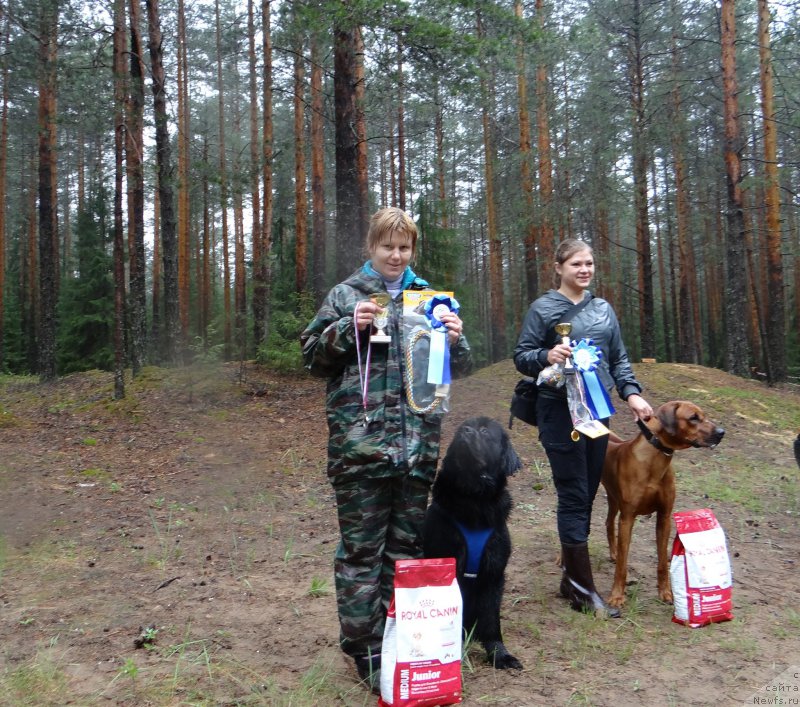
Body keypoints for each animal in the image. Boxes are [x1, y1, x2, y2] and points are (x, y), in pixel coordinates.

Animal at [424, 418, 524, 672]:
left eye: (485, 431)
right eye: (462, 428)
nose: (465, 432)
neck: (474, 501)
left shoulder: (494, 573)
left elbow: (491, 620)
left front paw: (500, 655)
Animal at [600, 402, 724, 612]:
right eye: (693, 418)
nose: (722, 432)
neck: (655, 458)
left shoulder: (664, 517)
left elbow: (662, 562)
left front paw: (666, 593)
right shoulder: (628, 518)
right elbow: (622, 566)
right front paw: (617, 596)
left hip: (614, 498)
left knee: (609, 522)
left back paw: (613, 553)